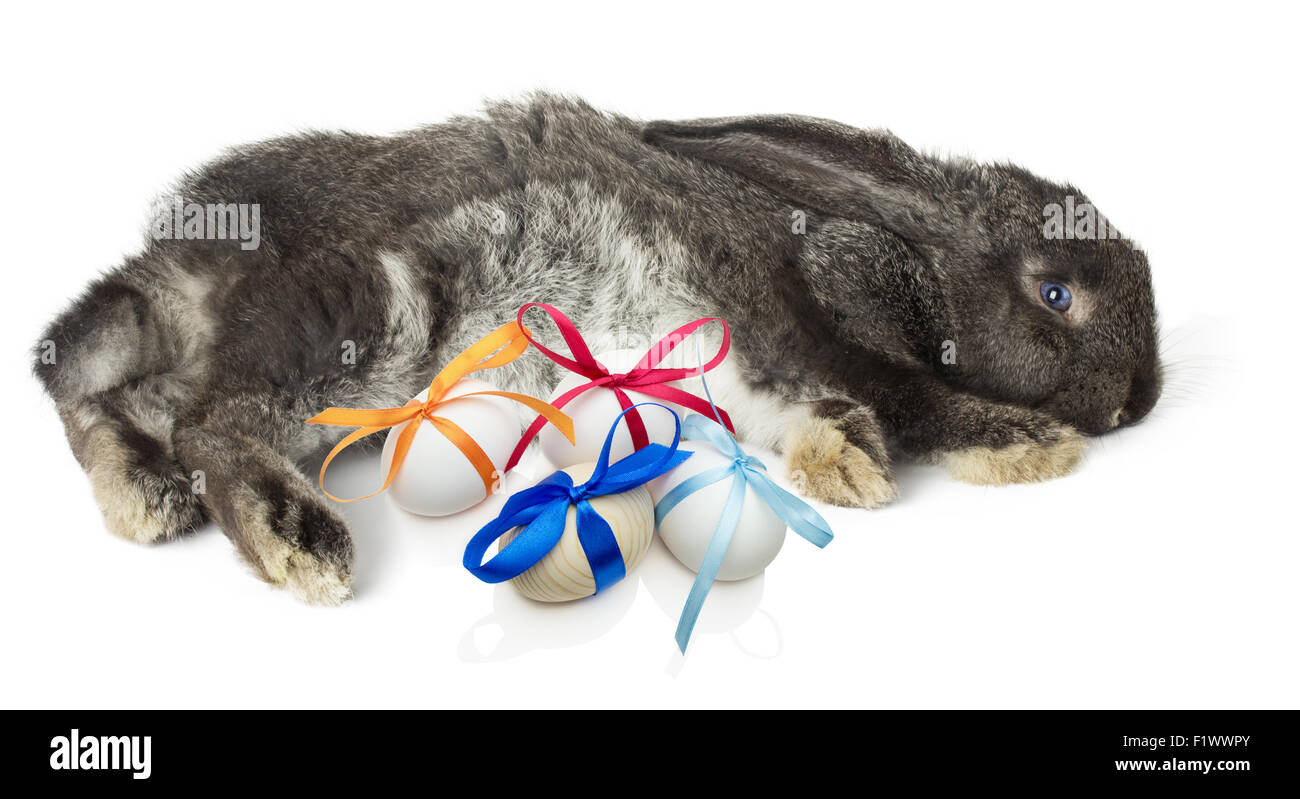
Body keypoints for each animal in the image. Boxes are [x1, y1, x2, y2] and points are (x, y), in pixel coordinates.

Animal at [35, 92, 1164, 605]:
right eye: (1056, 292)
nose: (1142, 401)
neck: (897, 262)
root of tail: (194, 262)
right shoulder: (801, 330)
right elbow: (911, 399)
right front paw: (1025, 442)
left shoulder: (758, 376)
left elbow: (810, 418)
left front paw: (839, 457)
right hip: (366, 323)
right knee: (205, 418)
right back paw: (292, 535)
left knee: (104, 394)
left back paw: (143, 496)